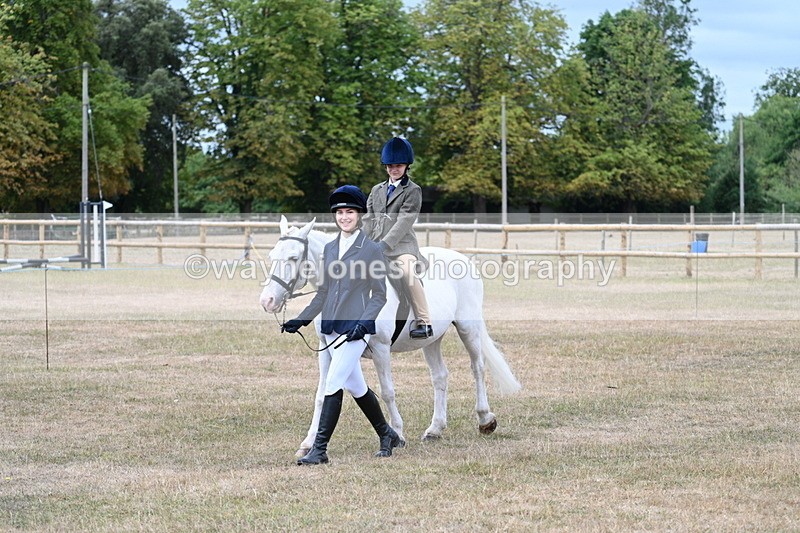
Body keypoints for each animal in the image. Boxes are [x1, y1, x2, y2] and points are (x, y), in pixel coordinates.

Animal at [259, 215, 521, 457]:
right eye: (272, 256)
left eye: (294, 258)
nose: (267, 301)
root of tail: (461, 258)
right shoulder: (327, 351)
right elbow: (322, 395)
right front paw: (308, 443)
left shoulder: (381, 348)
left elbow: (387, 392)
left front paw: (398, 434)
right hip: (431, 339)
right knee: (440, 376)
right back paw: (435, 429)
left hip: (468, 329)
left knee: (477, 368)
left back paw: (485, 419)